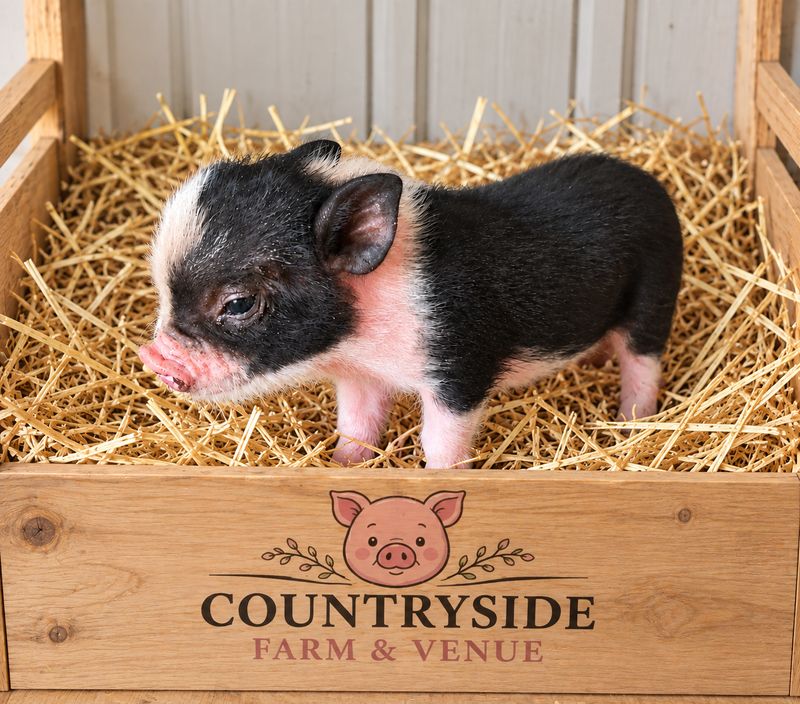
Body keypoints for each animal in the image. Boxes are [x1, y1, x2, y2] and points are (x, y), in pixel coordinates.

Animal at [139, 140, 683, 468]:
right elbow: (356, 426)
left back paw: (632, 422)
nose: (153, 357)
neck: (361, 343)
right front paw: (342, 465)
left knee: (642, 362)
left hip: (656, 296)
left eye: (237, 304)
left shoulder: (459, 367)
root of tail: (649, 182)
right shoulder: (361, 378)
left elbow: (441, 441)